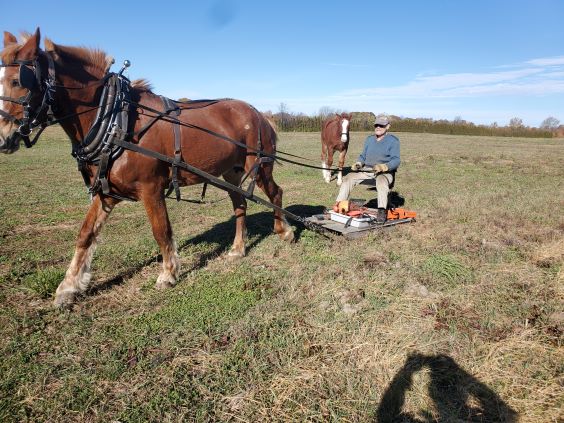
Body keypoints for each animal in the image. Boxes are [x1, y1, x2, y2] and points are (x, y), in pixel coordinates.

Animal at [0, 29, 294, 307]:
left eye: (18, 81)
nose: (3, 138)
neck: (115, 120)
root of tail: (259, 113)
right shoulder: (106, 192)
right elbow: (85, 234)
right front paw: (69, 286)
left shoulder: (151, 188)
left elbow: (161, 231)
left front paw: (168, 273)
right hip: (230, 172)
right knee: (240, 203)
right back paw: (238, 248)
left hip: (259, 166)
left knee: (275, 193)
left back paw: (285, 231)